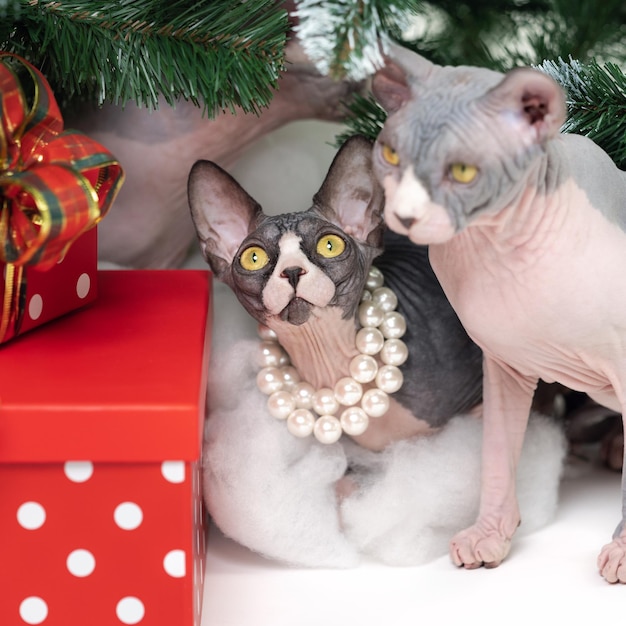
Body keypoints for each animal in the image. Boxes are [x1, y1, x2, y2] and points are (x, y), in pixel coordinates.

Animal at [370, 45, 624, 584]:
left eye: (463, 172)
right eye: (392, 156)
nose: (404, 215)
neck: (496, 251)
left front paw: (624, 552)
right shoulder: (503, 365)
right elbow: (496, 454)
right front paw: (490, 534)